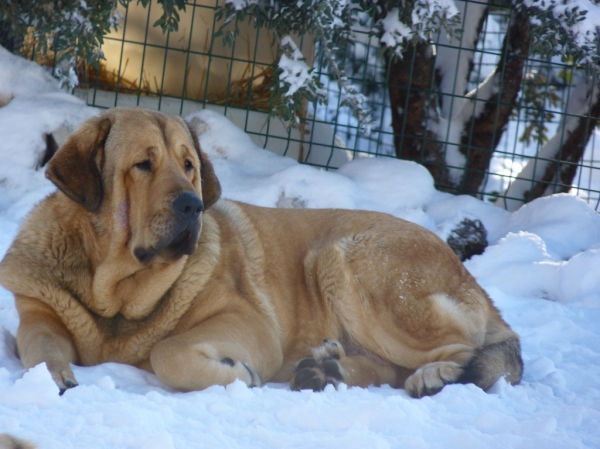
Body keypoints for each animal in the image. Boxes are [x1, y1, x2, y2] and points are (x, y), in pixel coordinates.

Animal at [0, 108, 524, 396]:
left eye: (188, 166)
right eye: (143, 164)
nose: (192, 204)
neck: (116, 294)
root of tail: (470, 277)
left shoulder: (249, 324)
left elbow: (168, 350)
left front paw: (235, 374)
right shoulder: (38, 315)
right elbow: (39, 349)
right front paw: (56, 377)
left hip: (342, 259)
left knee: (467, 350)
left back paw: (432, 376)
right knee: (393, 368)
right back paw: (325, 370)